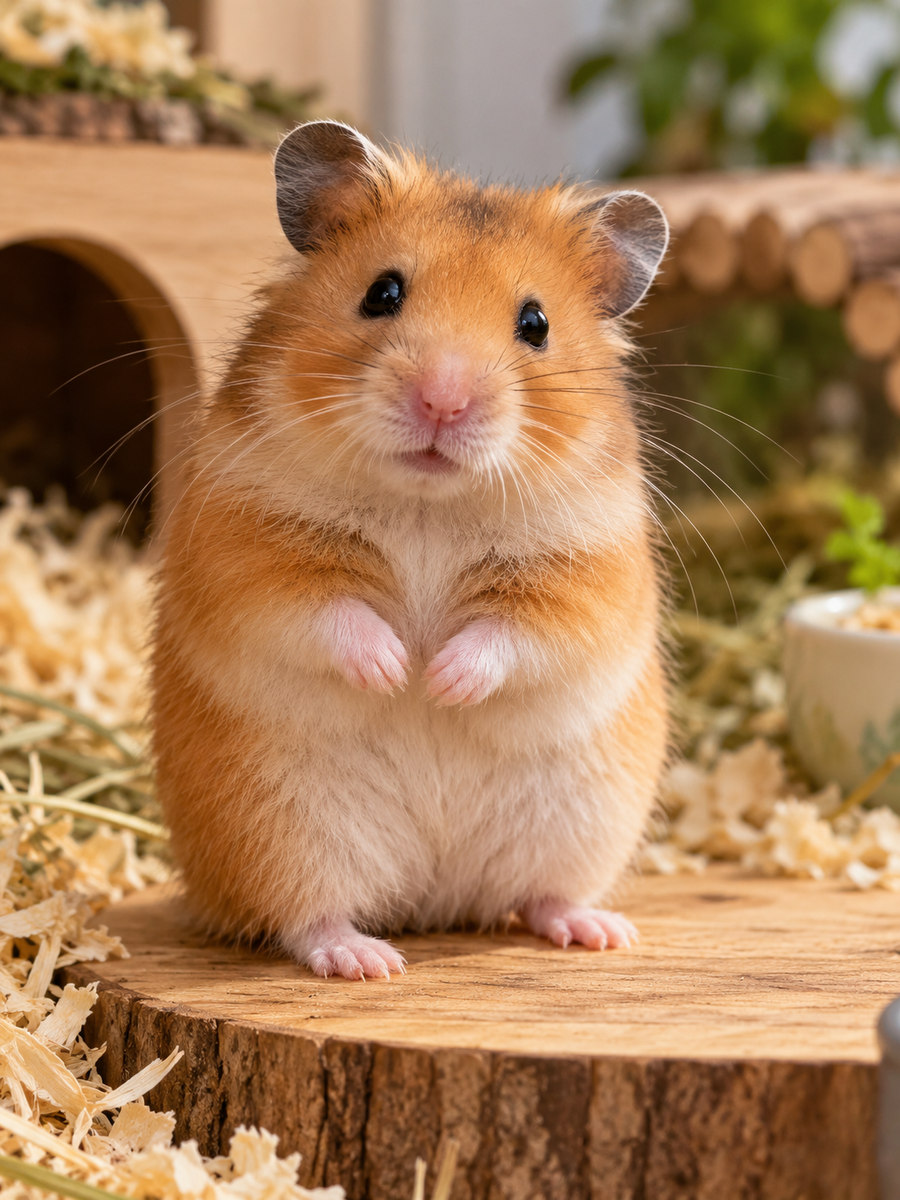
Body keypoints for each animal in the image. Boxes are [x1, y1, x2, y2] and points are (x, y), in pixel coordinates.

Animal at [152, 120, 670, 980]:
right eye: (382, 292)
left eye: (536, 323)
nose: (442, 401)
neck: (430, 504)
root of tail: (431, 901)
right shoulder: (251, 547)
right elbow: (328, 613)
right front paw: (398, 670)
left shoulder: (587, 570)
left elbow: (516, 634)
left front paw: (442, 683)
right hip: (276, 824)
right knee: (304, 914)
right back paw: (366, 959)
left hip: (582, 822)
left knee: (538, 896)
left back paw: (599, 931)